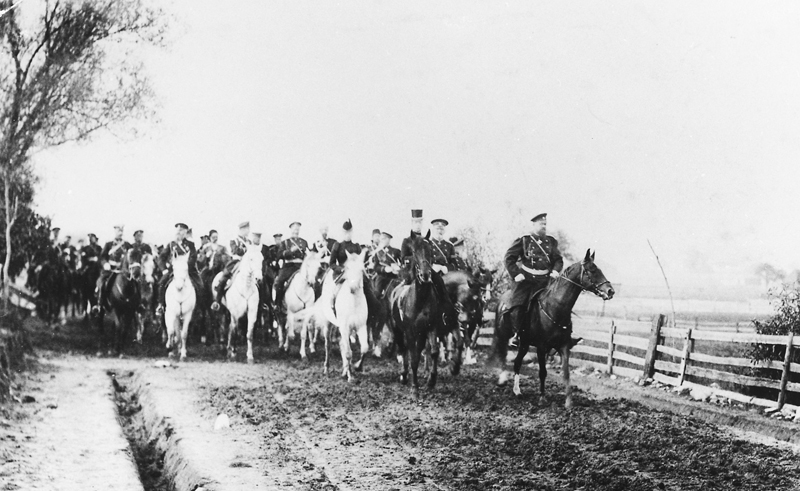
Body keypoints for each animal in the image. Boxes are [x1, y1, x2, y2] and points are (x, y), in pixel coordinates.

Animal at [318, 250, 370, 380]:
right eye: (347, 268)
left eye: (361, 269)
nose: (353, 287)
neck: (354, 302)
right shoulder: (345, 328)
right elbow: (348, 353)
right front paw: (350, 376)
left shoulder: (361, 326)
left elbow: (365, 348)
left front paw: (357, 367)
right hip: (328, 324)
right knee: (328, 345)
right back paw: (327, 369)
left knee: (342, 344)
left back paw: (345, 370)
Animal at [390, 233, 460, 398]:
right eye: (414, 252)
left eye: (430, 251)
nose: (426, 274)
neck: (420, 299)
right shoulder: (410, 331)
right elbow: (414, 357)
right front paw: (414, 387)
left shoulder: (431, 328)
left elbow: (434, 352)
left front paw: (431, 381)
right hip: (398, 329)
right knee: (403, 348)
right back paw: (404, 375)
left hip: (421, 334)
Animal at [490, 252, 616, 410]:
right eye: (592, 270)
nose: (610, 291)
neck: (554, 308)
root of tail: (503, 299)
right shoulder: (541, 347)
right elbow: (543, 372)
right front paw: (542, 399)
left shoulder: (563, 346)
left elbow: (566, 373)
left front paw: (569, 402)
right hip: (503, 334)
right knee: (502, 354)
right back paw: (502, 379)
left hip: (524, 343)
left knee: (517, 362)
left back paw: (517, 391)